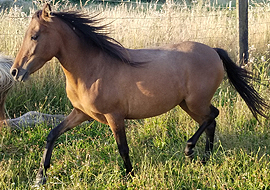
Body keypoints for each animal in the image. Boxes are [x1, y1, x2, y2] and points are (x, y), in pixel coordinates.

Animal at [10, 4, 268, 186]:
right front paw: (40, 177)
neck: (93, 68)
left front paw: (130, 175)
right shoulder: (81, 113)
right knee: (211, 120)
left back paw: (189, 149)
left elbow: (122, 147)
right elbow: (52, 134)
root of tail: (213, 51)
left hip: (196, 102)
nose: (15, 72)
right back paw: (205, 158)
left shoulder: (114, 116)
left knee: (213, 115)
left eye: (34, 36)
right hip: (187, 104)